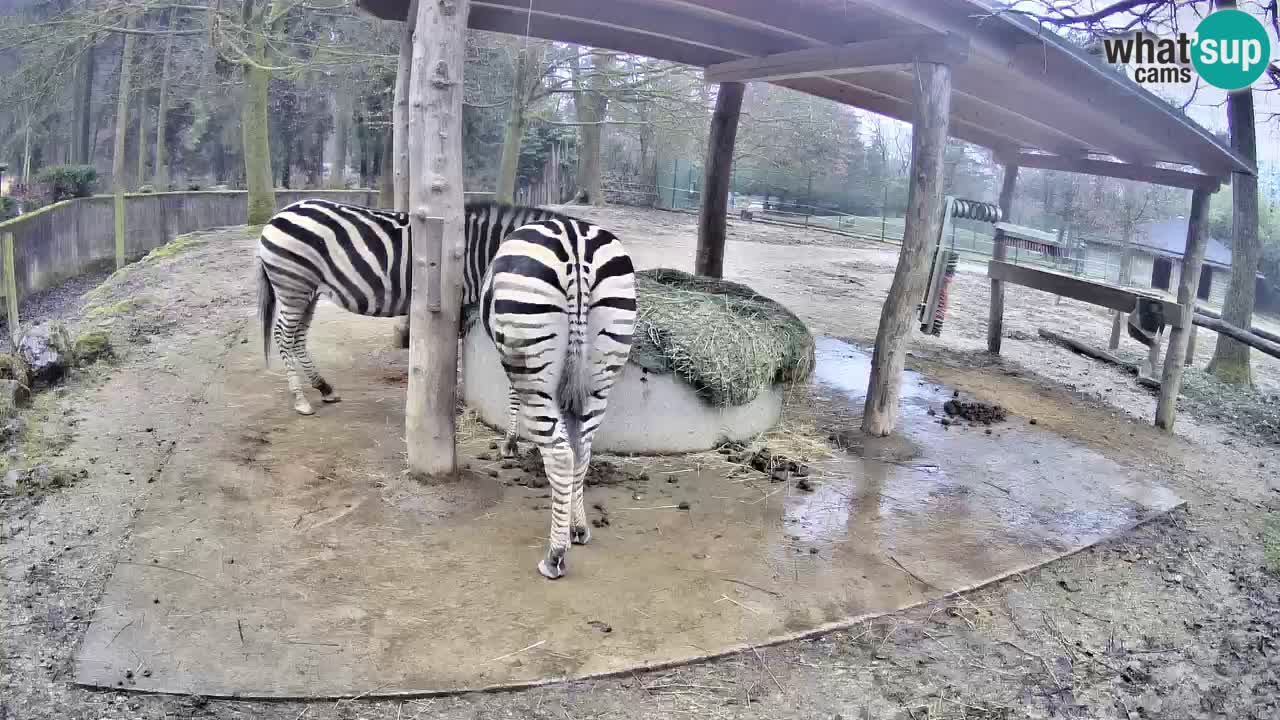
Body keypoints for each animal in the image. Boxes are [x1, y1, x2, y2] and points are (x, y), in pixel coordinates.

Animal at [256, 198, 586, 415]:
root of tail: (277, 215)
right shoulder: (459, 303)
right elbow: (452, 357)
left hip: (307, 290)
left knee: (298, 338)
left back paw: (324, 388)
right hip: (293, 284)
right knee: (284, 336)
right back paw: (301, 400)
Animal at [478, 217, 636, 579]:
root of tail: (576, 244)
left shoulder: (513, 362)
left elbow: (512, 398)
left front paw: (509, 444)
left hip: (530, 364)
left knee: (562, 455)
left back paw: (555, 555)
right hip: (600, 373)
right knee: (583, 450)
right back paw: (578, 530)